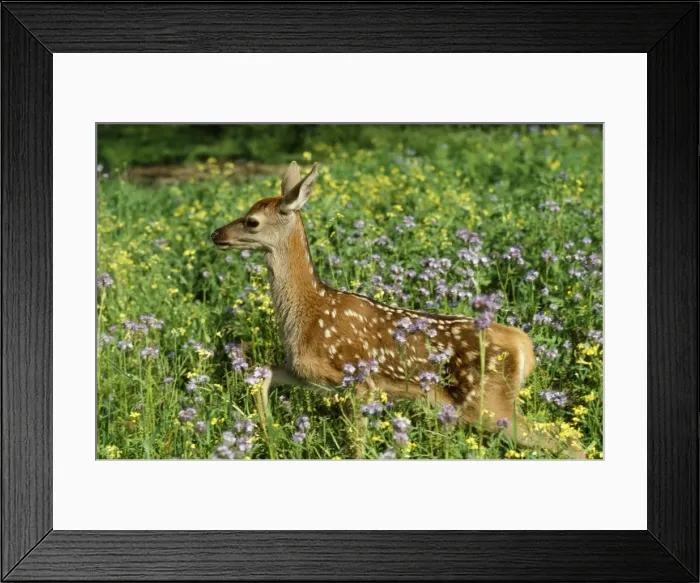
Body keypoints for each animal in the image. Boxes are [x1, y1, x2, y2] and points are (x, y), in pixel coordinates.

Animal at [211, 161, 585, 459]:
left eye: (252, 221)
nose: (215, 234)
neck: (309, 312)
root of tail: (524, 344)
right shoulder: (309, 372)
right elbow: (262, 372)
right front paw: (267, 433)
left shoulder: (358, 378)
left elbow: (357, 444)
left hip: (489, 402)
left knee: (570, 443)